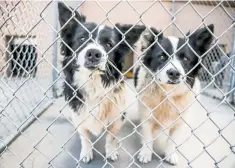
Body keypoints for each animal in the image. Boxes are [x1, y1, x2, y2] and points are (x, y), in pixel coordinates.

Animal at [57, 1, 144, 163]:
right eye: (82, 39)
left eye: (109, 44)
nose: (93, 53)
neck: (94, 82)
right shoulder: (79, 115)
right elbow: (85, 136)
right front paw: (86, 153)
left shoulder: (117, 116)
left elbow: (111, 137)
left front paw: (111, 152)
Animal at [134, 25, 213, 165]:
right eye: (162, 57)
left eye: (186, 59)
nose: (174, 73)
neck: (168, 95)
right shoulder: (147, 117)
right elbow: (148, 137)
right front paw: (146, 153)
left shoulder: (180, 121)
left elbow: (172, 140)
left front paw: (170, 154)